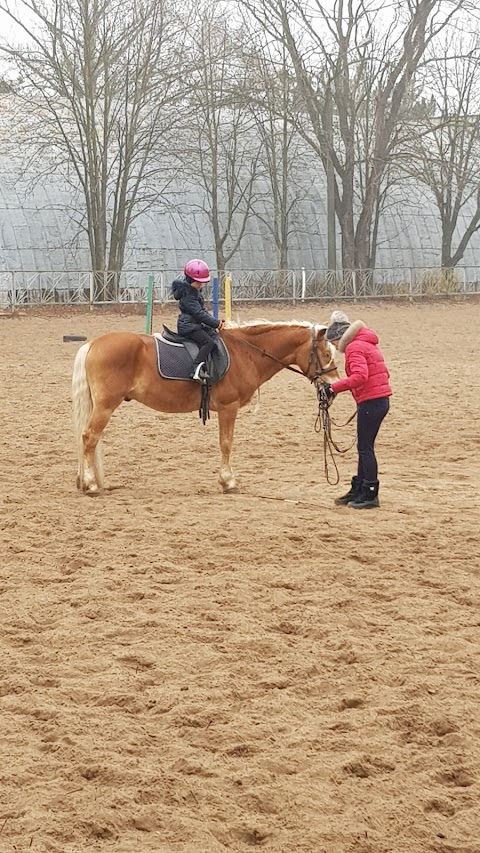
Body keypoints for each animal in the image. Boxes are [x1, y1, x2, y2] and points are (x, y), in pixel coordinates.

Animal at [73, 318, 340, 492]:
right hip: (106, 406)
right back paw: (90, 484)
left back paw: (83, 480)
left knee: (87, 439)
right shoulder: (228, 407)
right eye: (326, 354)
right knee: (88, 438)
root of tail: (93, 344)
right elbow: (226, 444)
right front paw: (228, 481)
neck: (245, 353)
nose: (332, 386)